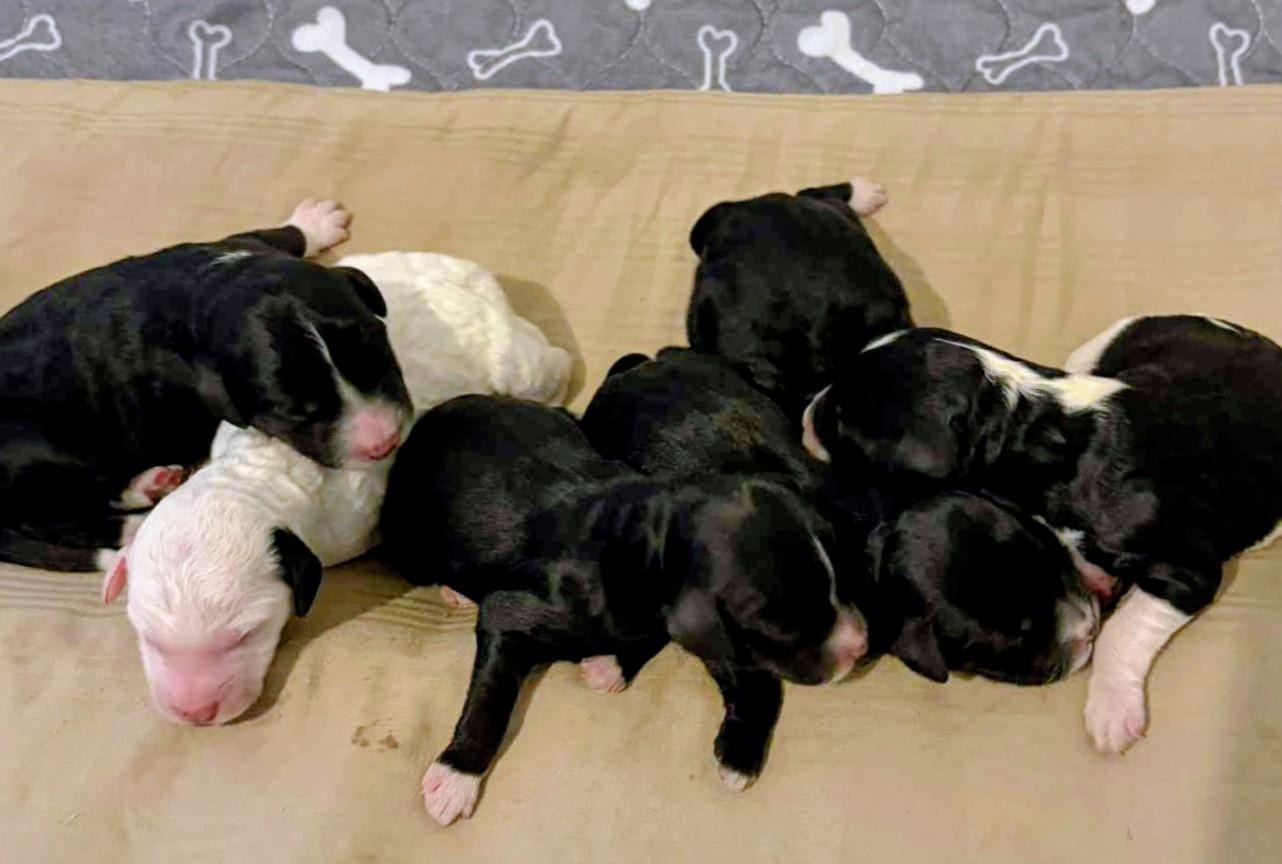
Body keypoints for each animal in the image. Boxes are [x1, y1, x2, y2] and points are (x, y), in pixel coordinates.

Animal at [0, 200, 411, 571]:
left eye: (378, 344)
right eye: (292, 412)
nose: (385, 441)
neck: (208, 290)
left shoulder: (245, 243)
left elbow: (278, 234)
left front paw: (314, 222)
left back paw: (150, 483)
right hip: (46, 452)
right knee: (55, 517)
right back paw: (142, 519)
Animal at [101, 252, 573, 726]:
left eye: (244, 635)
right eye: (146, 634)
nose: (195, 713)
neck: (253, 476)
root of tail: (489, 295)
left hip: (522, 367)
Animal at [379, 395, 866, 825]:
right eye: (781, 623)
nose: (859, 645)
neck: (648, 539)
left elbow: (735, 672)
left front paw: (738, 752)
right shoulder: (510, 615)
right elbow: (491, 699)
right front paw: (456, 776)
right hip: (407, 541)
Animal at [802, 317, 1282, 752]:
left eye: (838, 420)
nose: (804, 415)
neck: (1026, 429)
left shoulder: (1184, 568)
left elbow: (1122, 630)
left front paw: (1110, 712)